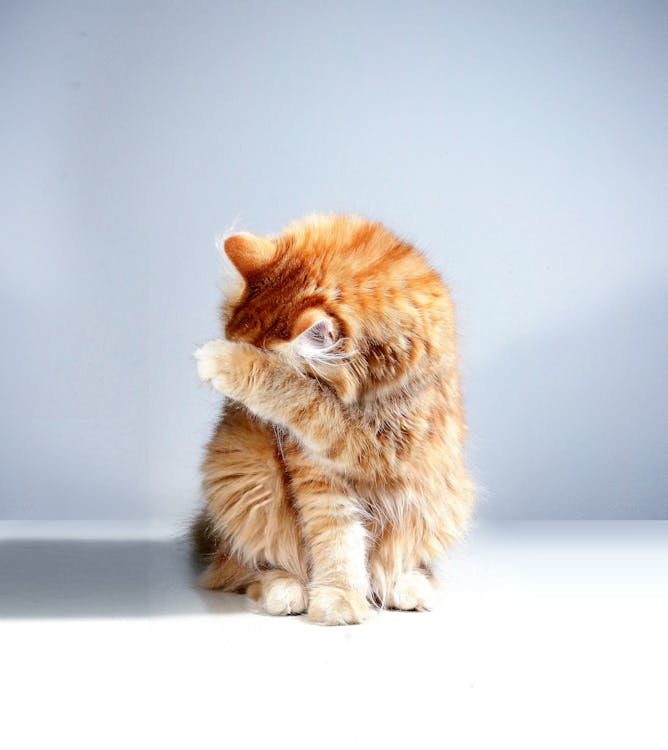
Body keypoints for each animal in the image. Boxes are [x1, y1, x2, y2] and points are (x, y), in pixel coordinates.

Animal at [193, 214, 474, 624]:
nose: (235, 405)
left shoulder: (380, 442)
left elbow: (296, 393)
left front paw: (227, 362)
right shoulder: (316, 471)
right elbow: (336, 537)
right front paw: (339, 596)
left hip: (441, 494)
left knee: (400, 561)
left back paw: (406, 585)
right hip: (243, 471)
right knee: (249, 566)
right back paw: (284, 588)